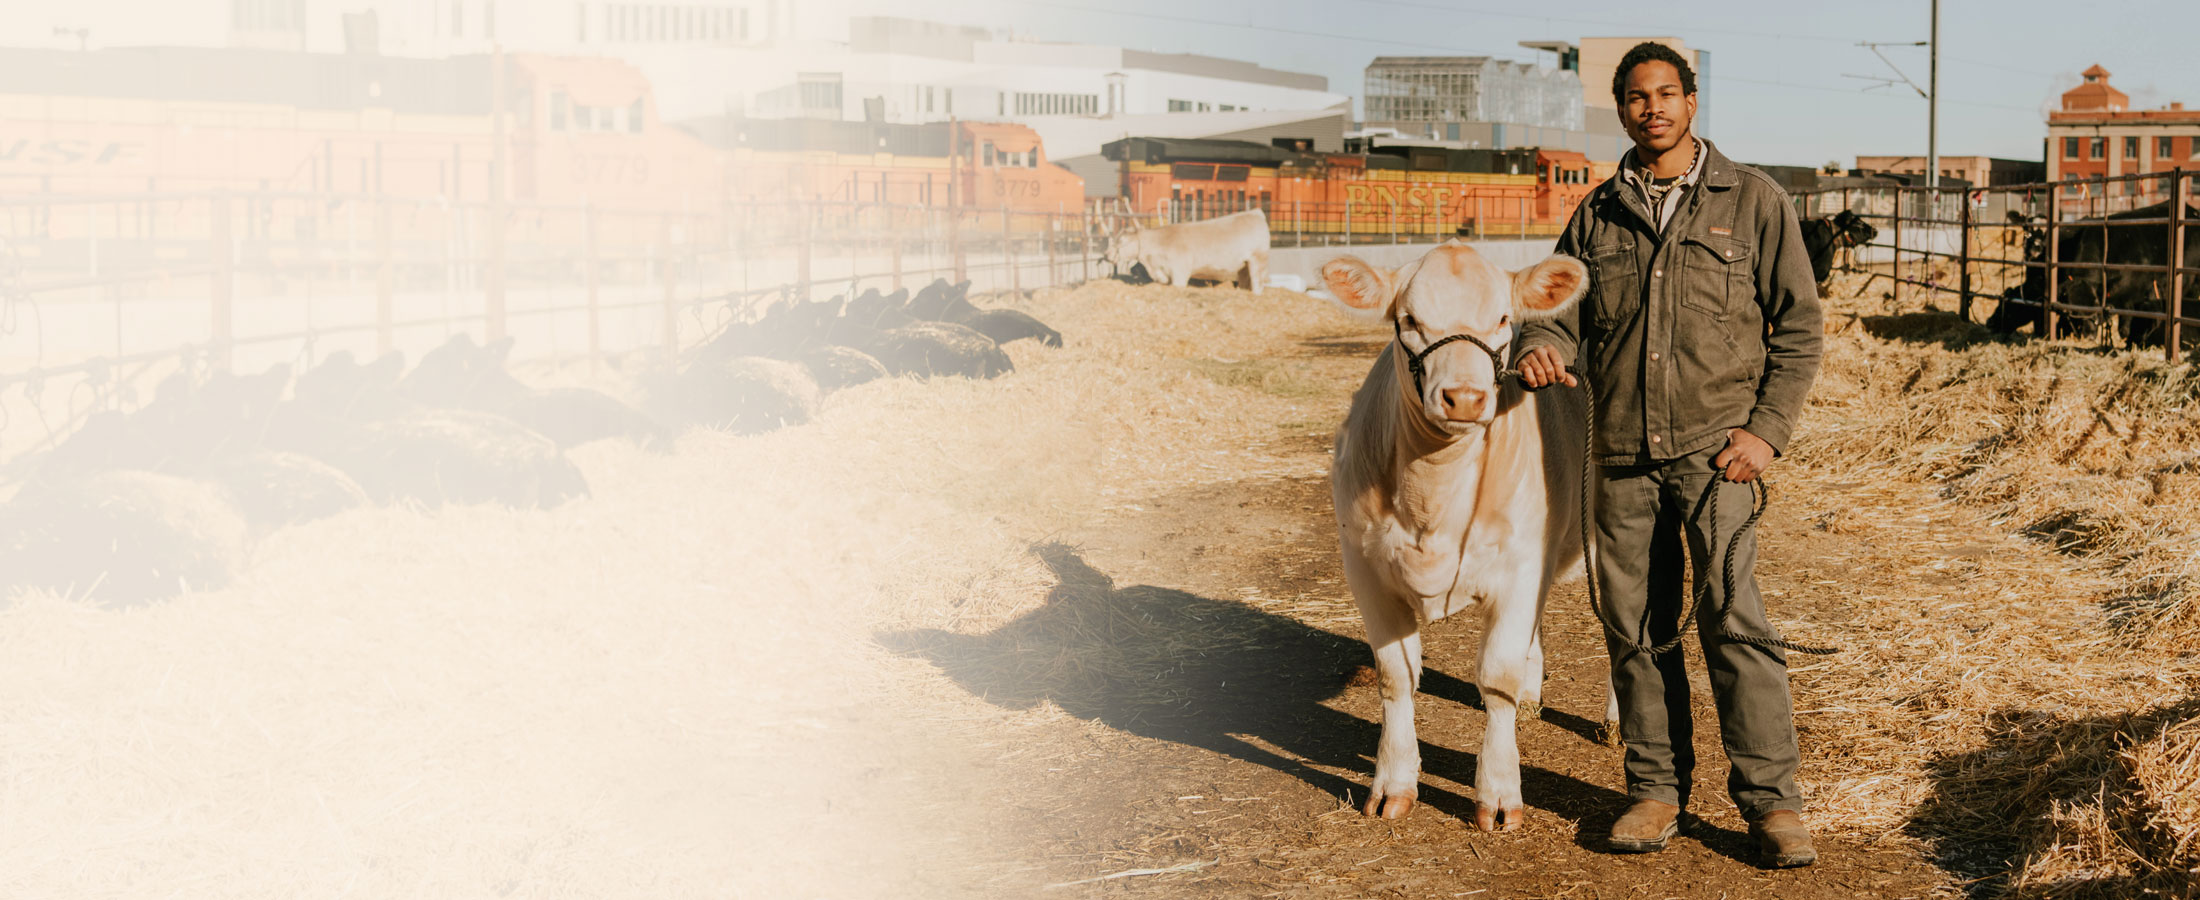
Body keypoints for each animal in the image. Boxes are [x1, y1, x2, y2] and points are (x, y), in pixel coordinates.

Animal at [1311, 238, 1610, 827]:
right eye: (1408, 320)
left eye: (1503, 319)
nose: (1466, 398)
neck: (1433, 499)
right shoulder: (1364, 568)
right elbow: (1395, 675)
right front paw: (1393, 783)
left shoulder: (1520, 564)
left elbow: (1496, 677)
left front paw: (1498, 794)